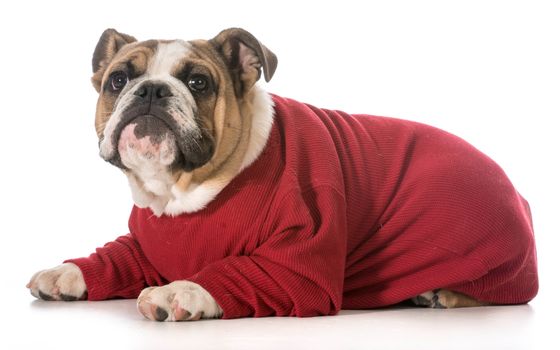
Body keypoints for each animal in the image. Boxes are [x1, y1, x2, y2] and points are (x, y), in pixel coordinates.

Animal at [27, 28, 540, 322]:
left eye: (198, 82)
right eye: (118, 80)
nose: (151, 90)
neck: (181, 191)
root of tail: (518, 194)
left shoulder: (298, 261)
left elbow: (234, 271)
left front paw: (180, 291)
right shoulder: (148, 241)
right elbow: (118, 255)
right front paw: (67, 272)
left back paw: (441, 294)